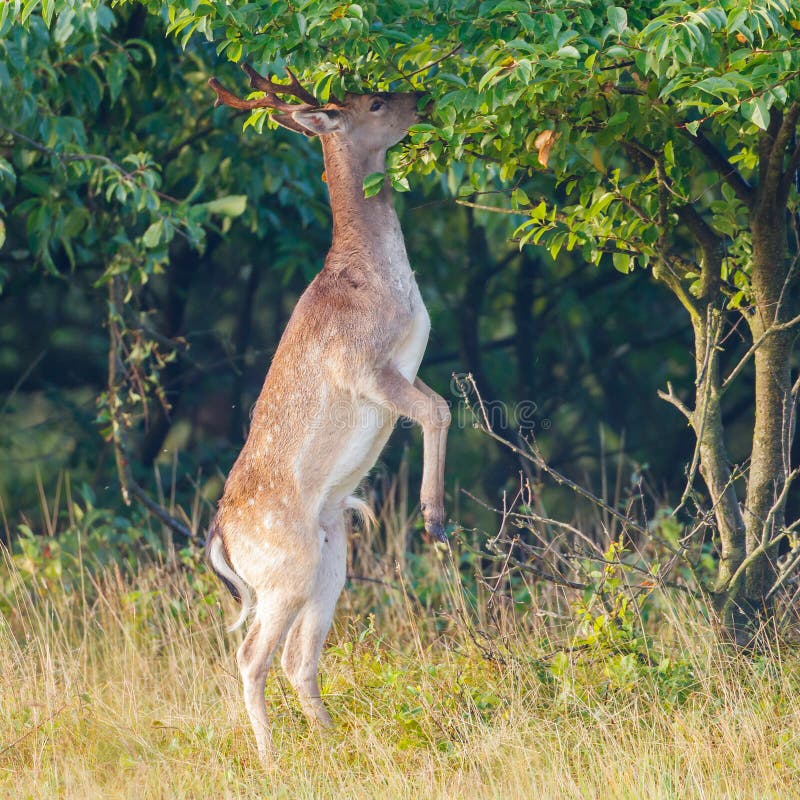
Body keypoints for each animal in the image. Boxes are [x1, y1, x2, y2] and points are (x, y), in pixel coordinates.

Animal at [203, 65, 450, 760]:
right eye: (376, 101)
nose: (423, 99)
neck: (375, 280)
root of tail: (223, 540)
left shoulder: (407, 366)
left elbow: (438, 406)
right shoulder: (364, 368)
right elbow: (439, 411)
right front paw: (435, 519)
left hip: (330, 561)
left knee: (298, 659)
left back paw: (335, 744)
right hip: (285, 571)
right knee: (251, 657)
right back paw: (271, 759)